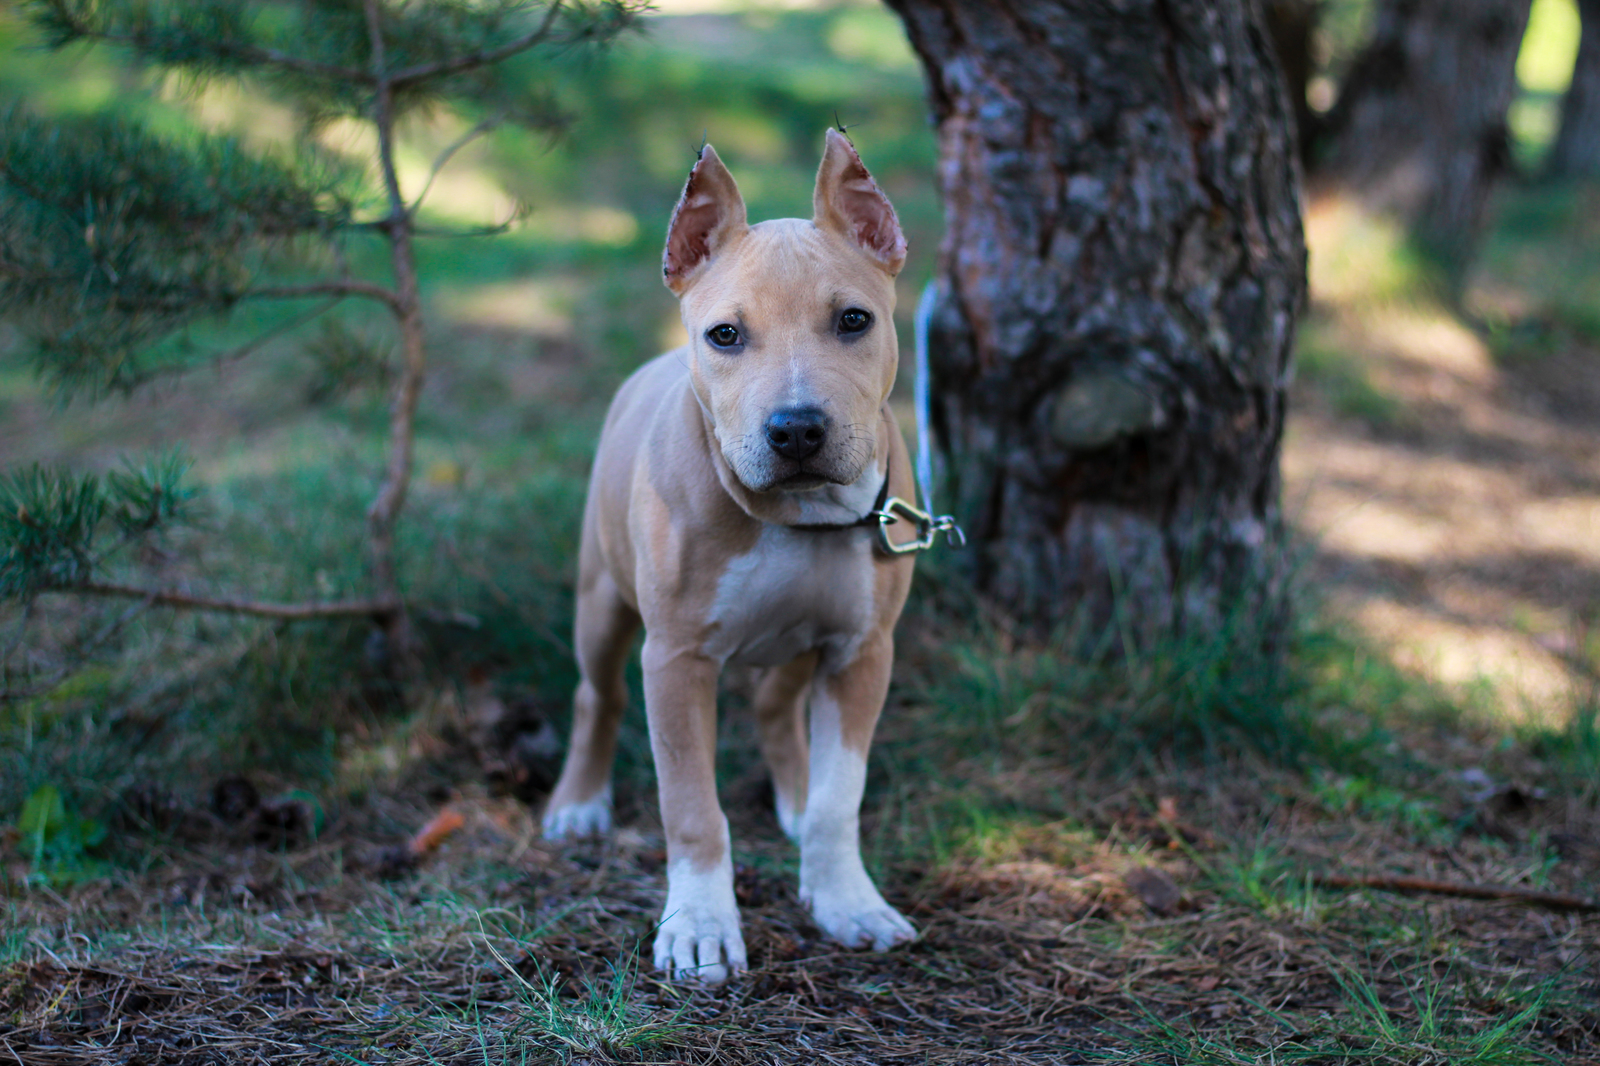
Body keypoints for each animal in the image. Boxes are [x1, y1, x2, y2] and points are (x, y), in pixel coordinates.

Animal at [537, 130, 915, 979]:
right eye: (725, 335)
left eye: (854, 320)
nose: (797, 428)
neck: (794, 515)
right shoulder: (675, 660)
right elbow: (692, 808)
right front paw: (701, 927)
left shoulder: (862, 650)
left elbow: (843, 799)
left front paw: (846, 900)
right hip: (601, 602)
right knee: (593, 696)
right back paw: (577, 804)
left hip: (800, 639)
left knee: (777, 706)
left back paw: (795, 799)